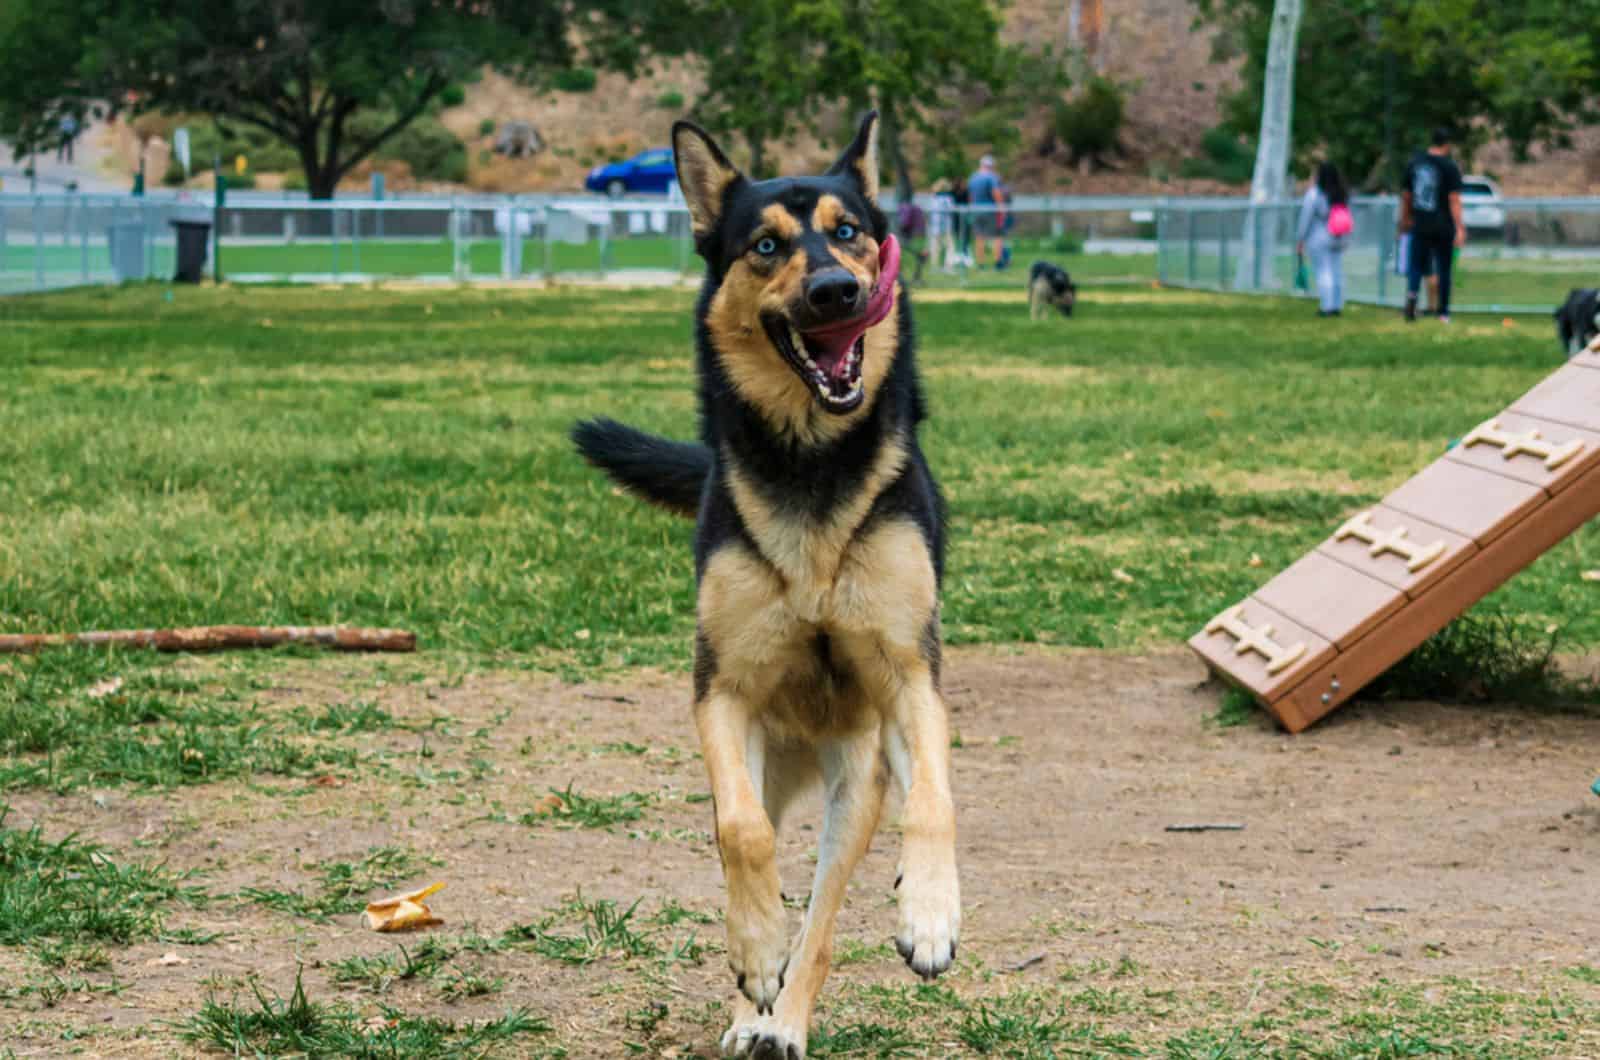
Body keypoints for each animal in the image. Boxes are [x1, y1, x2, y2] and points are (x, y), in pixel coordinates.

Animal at [572, 112, 953, 1056]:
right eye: (766, 245)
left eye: (848, 231)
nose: (835, 291)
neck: (809, 456)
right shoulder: (723, 691)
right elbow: (738, 836)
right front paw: (753, 958)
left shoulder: (910, 675)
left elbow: (934, 799)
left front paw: (931, 915)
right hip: (760, 762)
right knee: (759, 857)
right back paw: (757, 1003)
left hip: (855, 786)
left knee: (822, 916)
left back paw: (788, 1019)